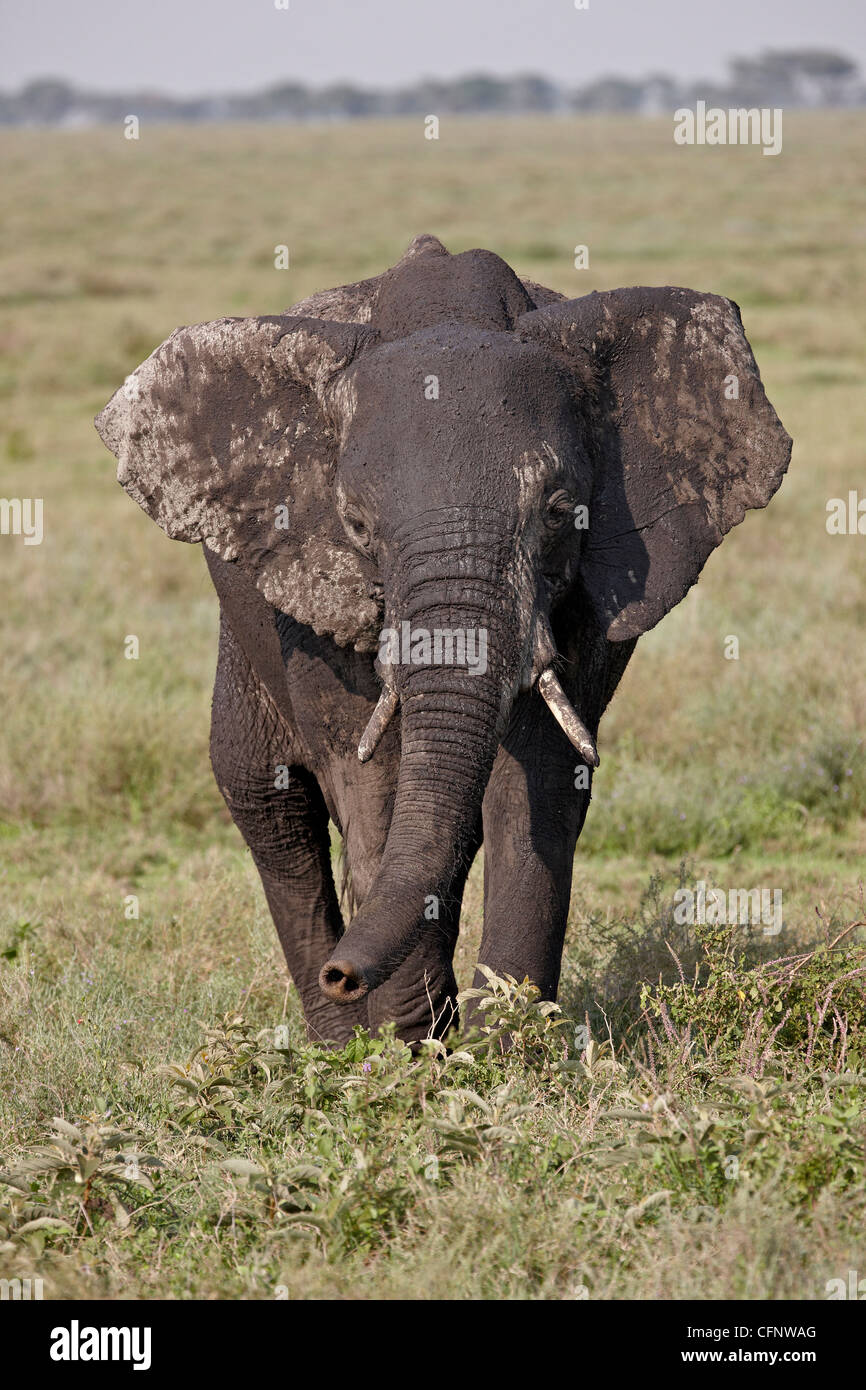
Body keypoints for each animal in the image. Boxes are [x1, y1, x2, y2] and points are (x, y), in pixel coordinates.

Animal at [94, 236, 795, 1045]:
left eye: (559, 511)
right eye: (356, 524)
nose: (343, 974)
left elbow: (537, 784)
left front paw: (505, 1046)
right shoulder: (319, 601)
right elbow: (370, 781)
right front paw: (411, 1048)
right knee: (267, 802)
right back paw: (337, 1044)